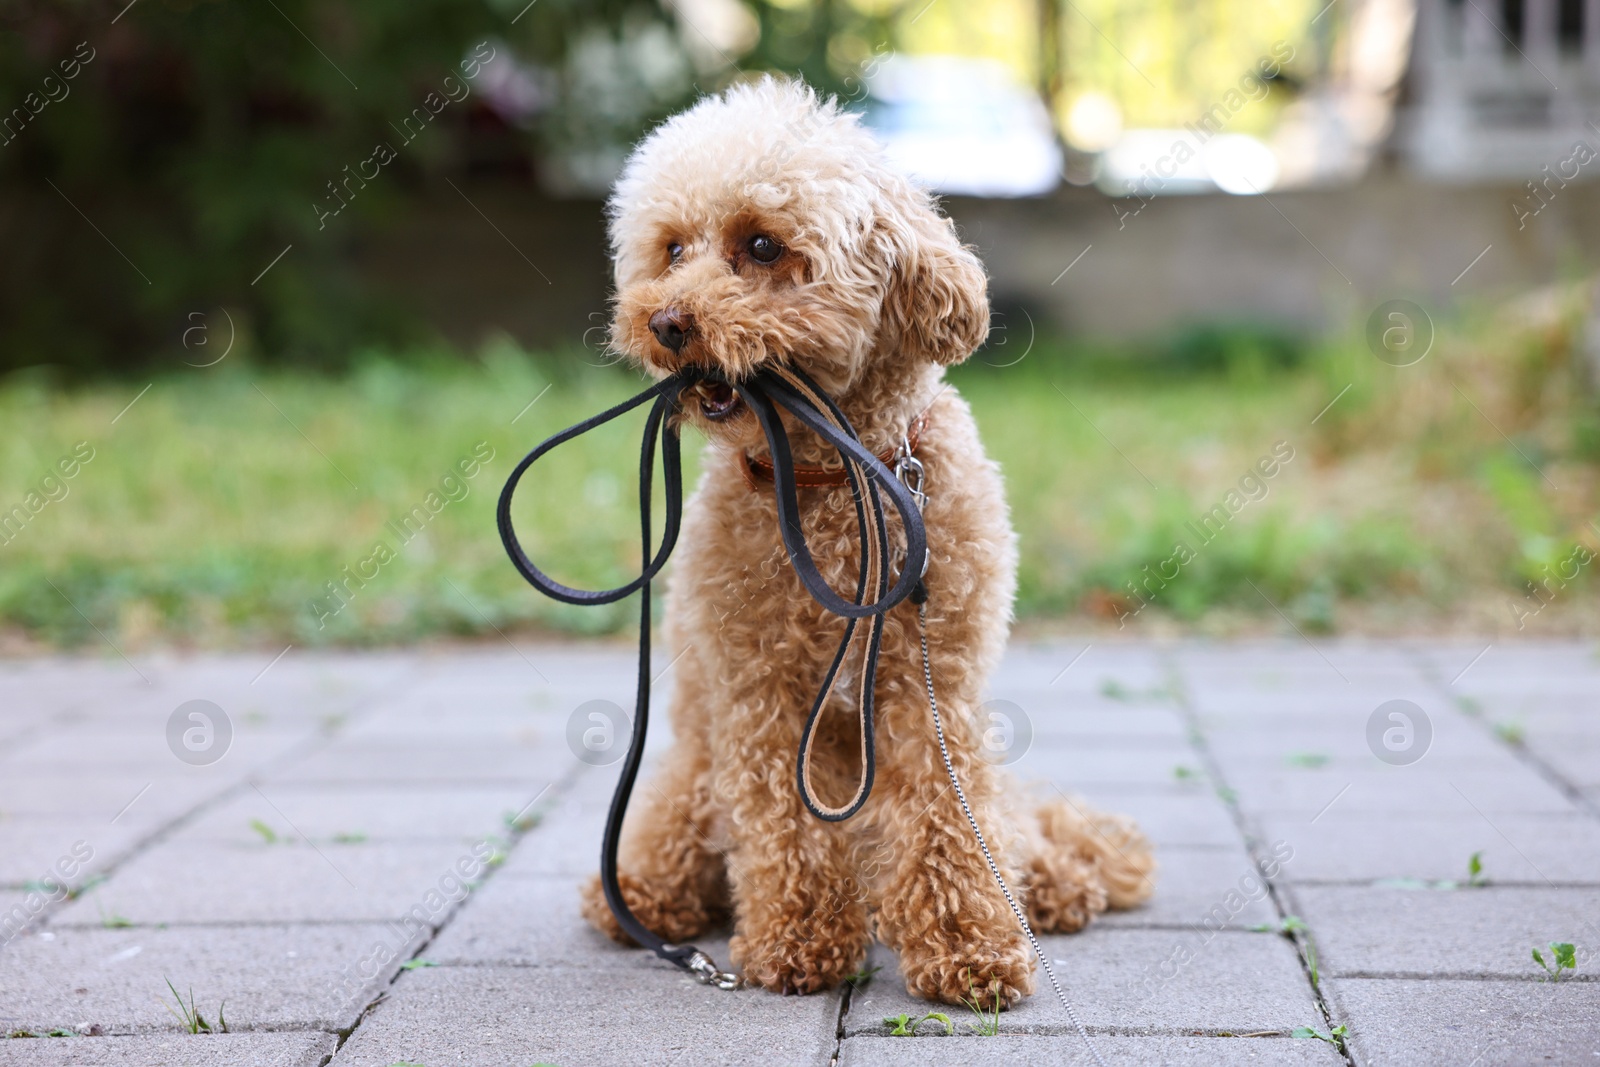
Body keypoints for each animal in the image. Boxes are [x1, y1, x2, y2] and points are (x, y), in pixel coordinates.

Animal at [579, 79, 1152, 1004]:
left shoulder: (933, 682)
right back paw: (645, 897)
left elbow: (949, 815)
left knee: (1016, 826)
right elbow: (781, 820)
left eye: (762, 245)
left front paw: (971, 944)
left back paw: (1056, 885)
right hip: (691, 781)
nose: (664, 322)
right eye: (671, 249)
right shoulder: (760, 693)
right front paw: (799, 941)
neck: (829, 484)